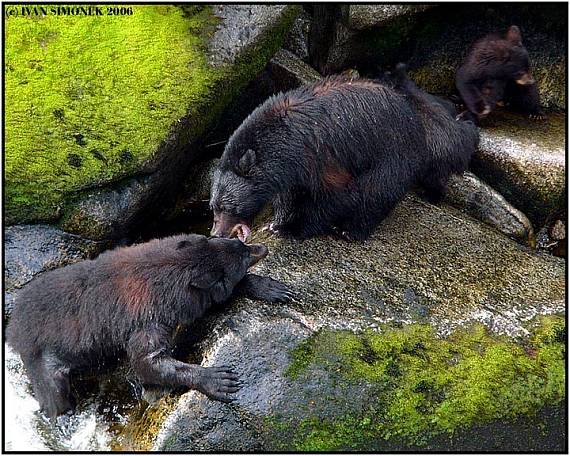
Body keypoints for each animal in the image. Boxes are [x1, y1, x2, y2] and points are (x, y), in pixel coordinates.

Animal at [7, 235, 292, 416]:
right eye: (244, 255)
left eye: (240, 244)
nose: (261, 247)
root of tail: (12, 331)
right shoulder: (148, 319)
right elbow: (147, 361)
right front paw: (214, 379)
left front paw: (269, 287)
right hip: (41, 360)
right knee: (54, 394)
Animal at [211, 71, 478, 242]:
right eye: (213, 207)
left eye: (227, 205)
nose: (216, 233)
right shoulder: (289, 170)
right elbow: (288, 193)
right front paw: (276, 223)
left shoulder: (321, 156)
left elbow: (334, 196)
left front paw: (296, 227)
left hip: (392, 156)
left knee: (376, 191)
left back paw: (351, 231)